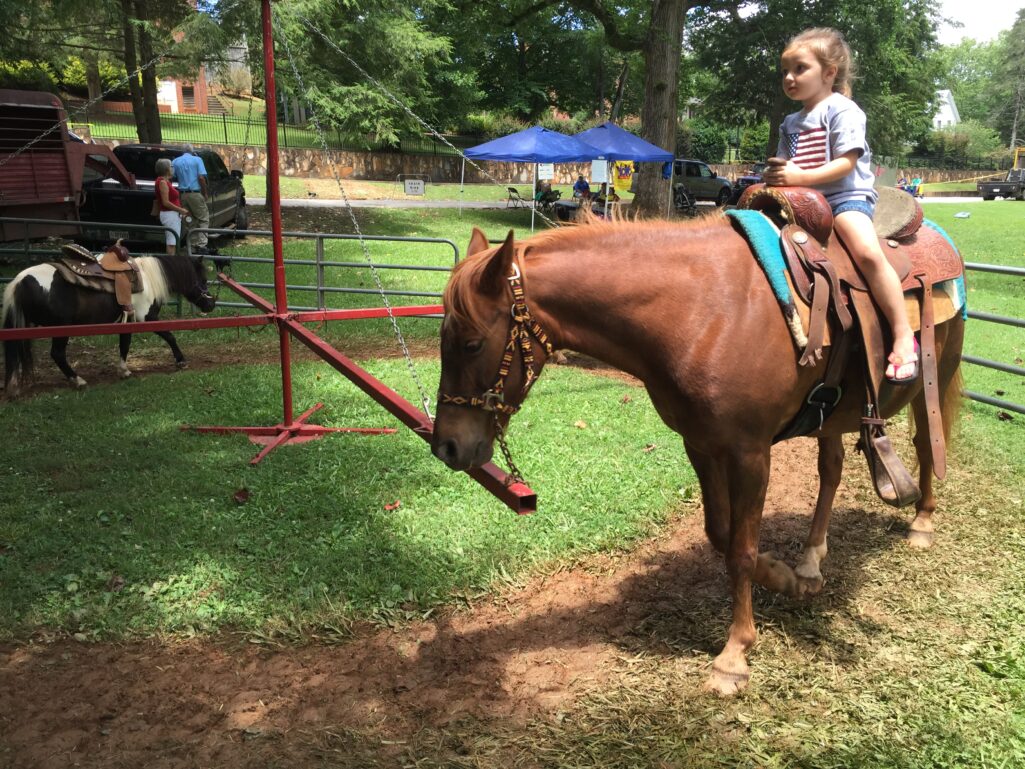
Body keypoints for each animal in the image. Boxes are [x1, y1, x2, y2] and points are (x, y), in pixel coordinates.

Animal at [3, 251, 216, 396]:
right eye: (203, 280)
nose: (211, 304)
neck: (148, 280)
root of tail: (19, 282)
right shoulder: (146, 318)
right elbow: (169, 335)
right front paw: (181, 360)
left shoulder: (127, 320)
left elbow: (124, 344)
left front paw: (123, 370)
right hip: (61, 329)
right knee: (57, 354)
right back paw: (78, 380)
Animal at [431, 218, 964, 696]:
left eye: (472, 343)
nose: (445, 446)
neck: (702, 314)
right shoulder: (702, 445)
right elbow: (721, 535)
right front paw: (783, 578)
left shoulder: (751, 453)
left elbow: (742, 550)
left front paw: (735, 654)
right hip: (831, 416)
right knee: (830, 471)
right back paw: (810, 562)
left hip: (932, 380)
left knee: (925, 445)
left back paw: (922, 521)